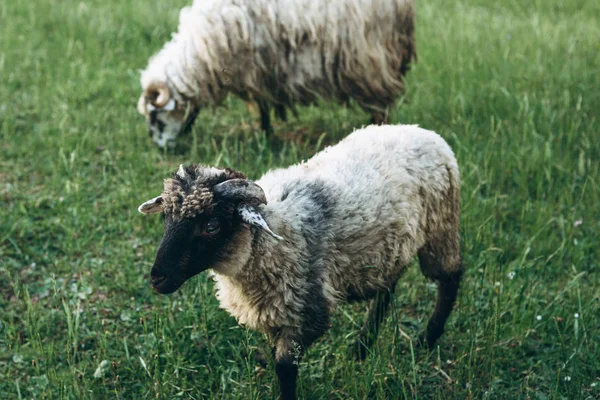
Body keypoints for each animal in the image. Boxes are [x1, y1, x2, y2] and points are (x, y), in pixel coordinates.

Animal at [138, 0, 414, 148]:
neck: (201, 54)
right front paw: (266, 133)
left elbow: (262, 105)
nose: (161, 149)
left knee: (381, 105)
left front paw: (265, 137)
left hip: (369, 59)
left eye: (156, 117)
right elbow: (263, 108)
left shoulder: (254, 70)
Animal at [138, 123, 462, 398]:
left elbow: (284, 367)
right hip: (386, 250)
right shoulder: (273, 313)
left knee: (451, 278)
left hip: (440, 228)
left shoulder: (306, 311)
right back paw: (361, 348)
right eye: (166, 218)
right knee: (386, 291)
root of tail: (423, 131)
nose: (157, 278)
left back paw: (427, 338)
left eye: (212, 225)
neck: (270, 237)